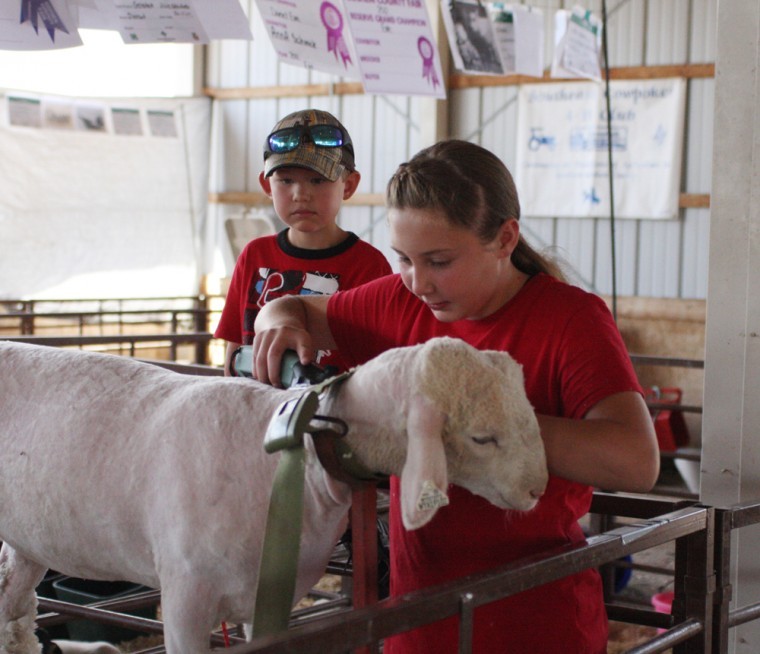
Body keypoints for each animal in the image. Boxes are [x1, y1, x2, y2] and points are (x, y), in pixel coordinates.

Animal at [0, 340, 548, 652]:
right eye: (482, 437)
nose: (537, 488)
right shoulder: (184, 593)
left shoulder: (272, 600)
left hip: (26, 541)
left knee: (14, 613)